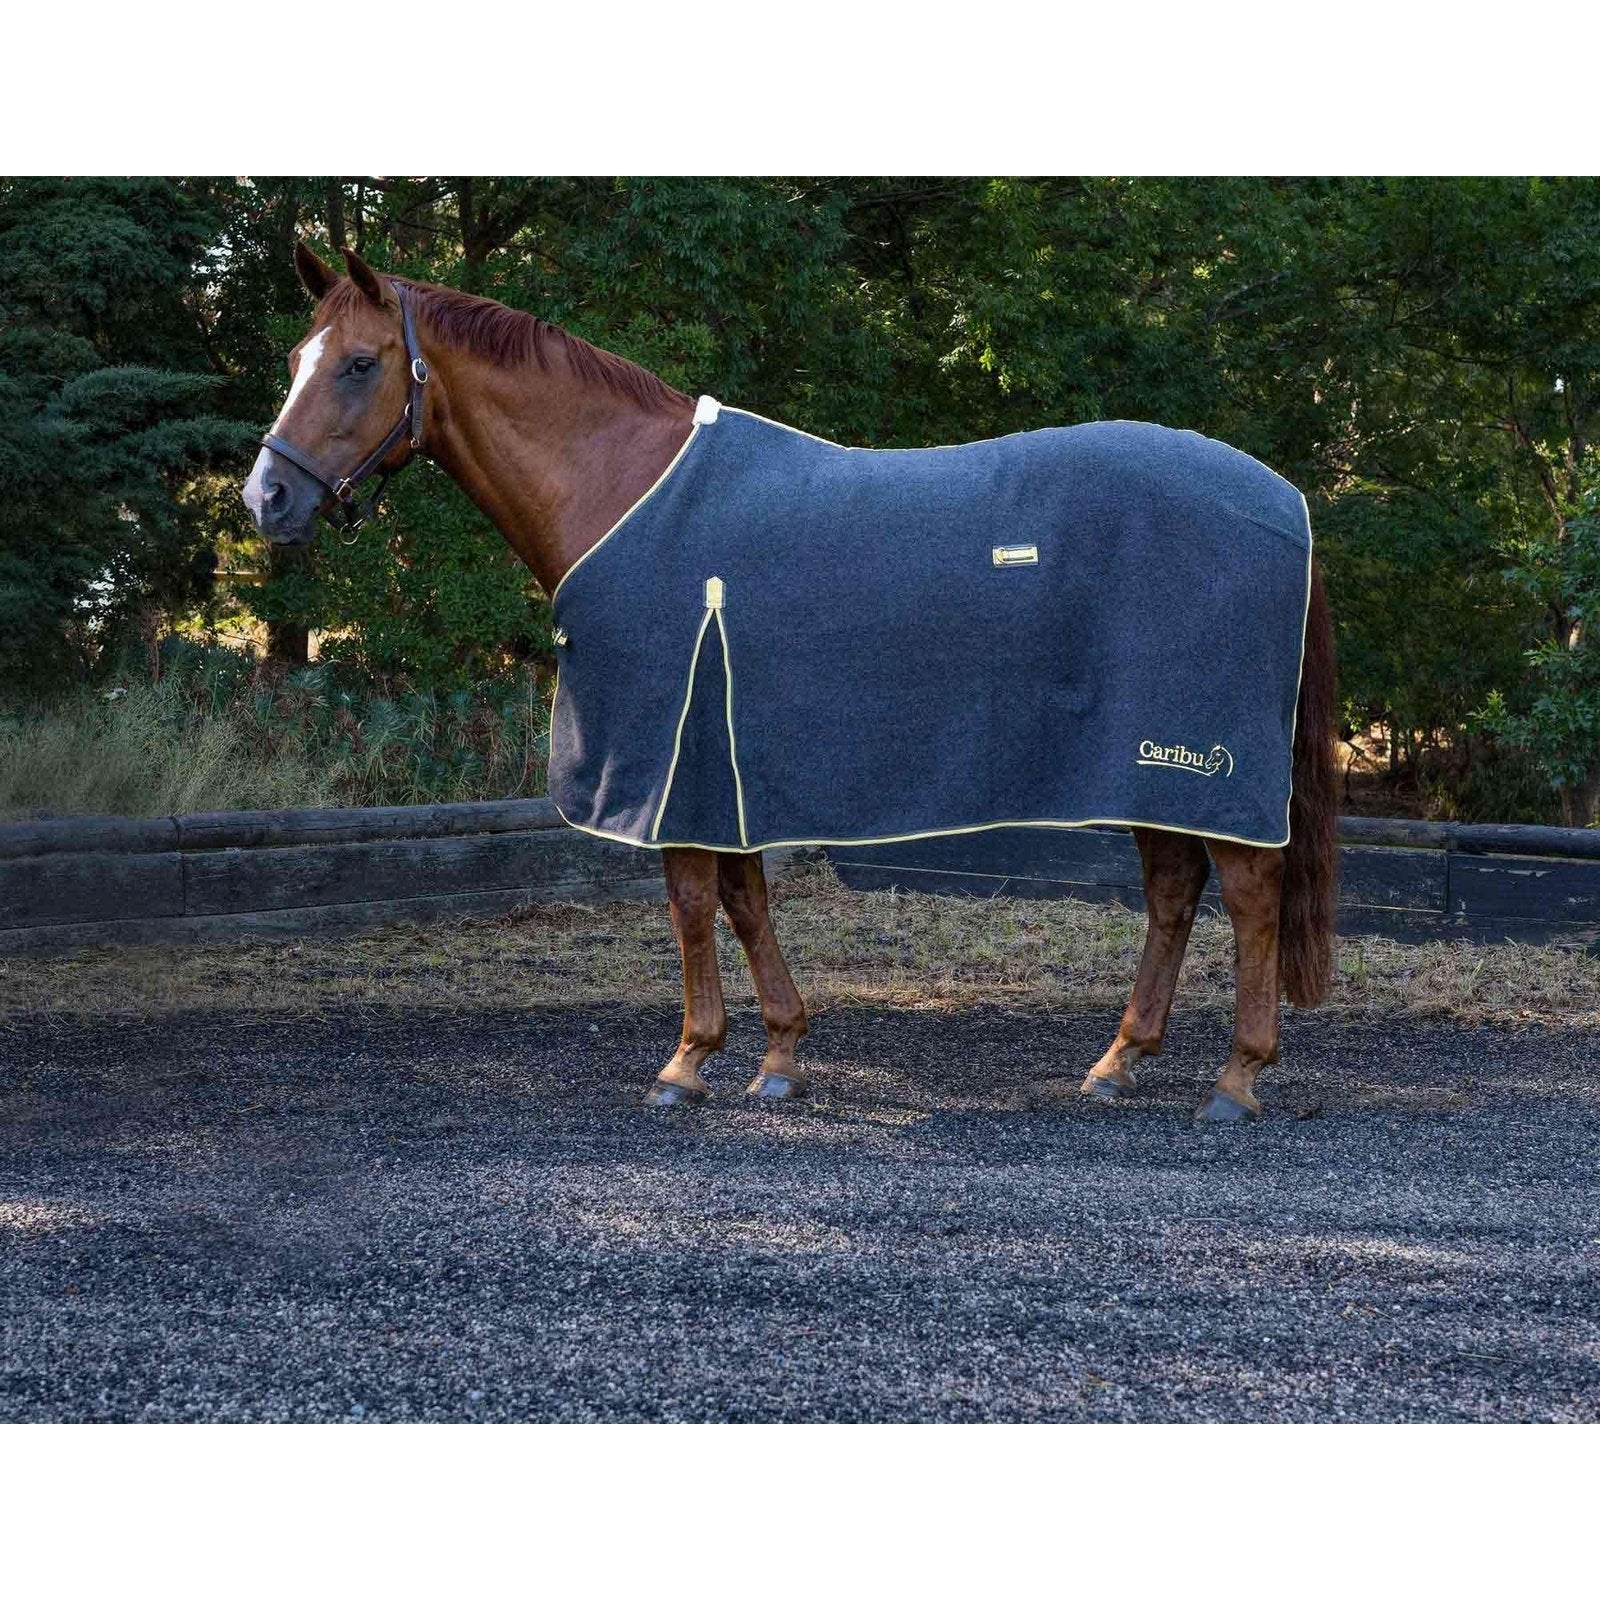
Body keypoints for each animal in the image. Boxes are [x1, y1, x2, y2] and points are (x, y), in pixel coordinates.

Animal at [242, 243, 1338, 1125]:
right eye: (296, 359)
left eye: (359, 363)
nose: (267, 497)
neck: (623, 488)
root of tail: (1284, 500)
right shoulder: (722, 758)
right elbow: (745, 898)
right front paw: (778, 1055)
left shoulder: (674, 755)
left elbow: (693, 901)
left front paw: (687, 1065)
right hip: (1147, 767)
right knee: (1174, 891)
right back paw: (1119, 1062)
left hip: (1193, 756)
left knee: (1247, 893)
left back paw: (1236, 1079)